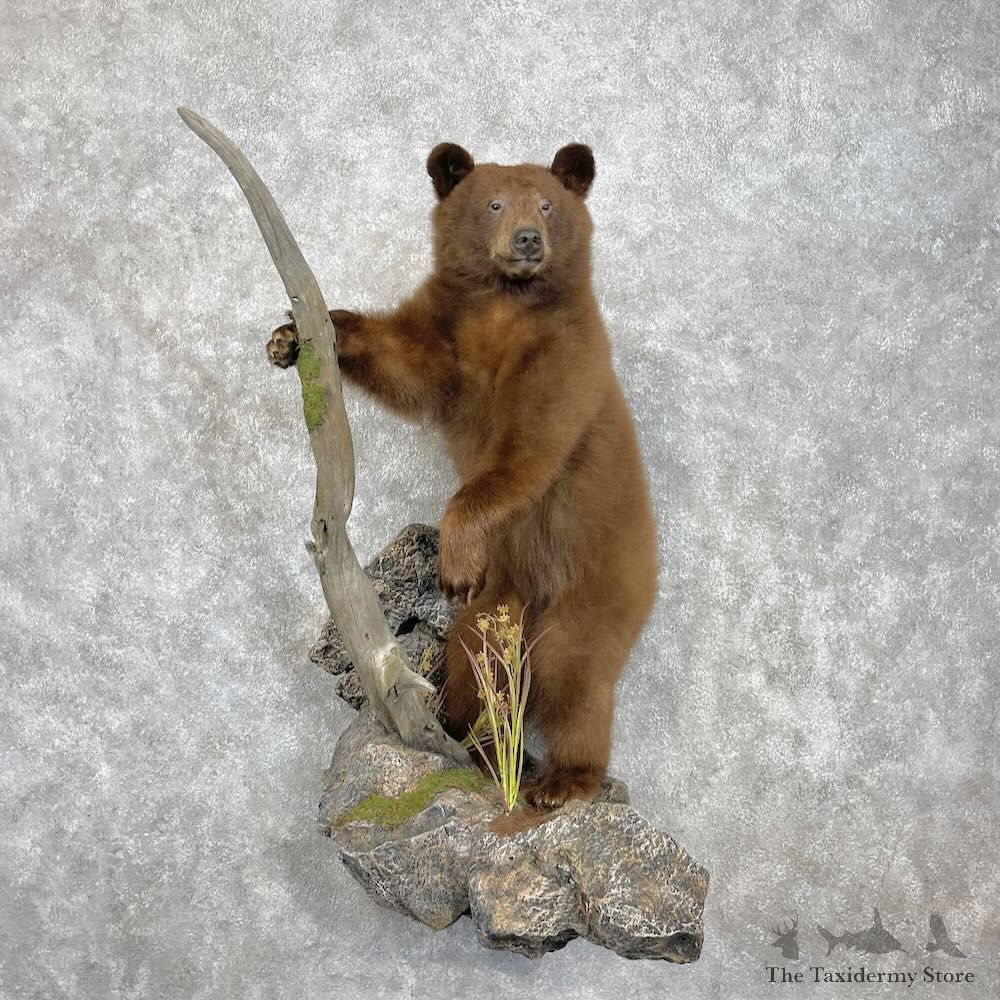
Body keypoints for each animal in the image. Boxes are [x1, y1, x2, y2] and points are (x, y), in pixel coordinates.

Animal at [267, 142, 657, 808]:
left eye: (547, 204)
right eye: (494, 203)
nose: (527, 238)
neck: (504, 303)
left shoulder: (565, 355)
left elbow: (527, 450)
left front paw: (454, 557)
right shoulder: (450, 336)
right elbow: (407, 366)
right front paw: (295, 333)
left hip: (595, 576)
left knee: (573, 673)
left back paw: (563, 780)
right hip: (500, 599)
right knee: (477, 655)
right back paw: (473, 738)